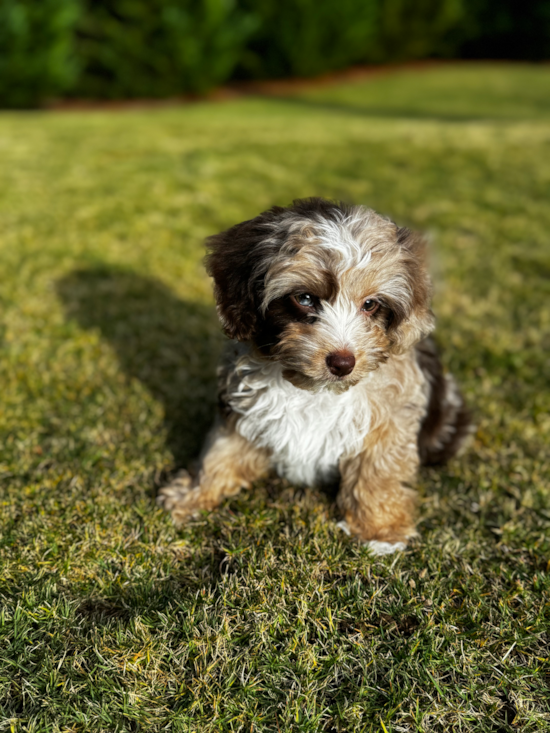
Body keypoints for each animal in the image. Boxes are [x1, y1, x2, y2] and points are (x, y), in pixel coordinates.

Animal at [157, 197, 472, 552]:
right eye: (305, 298)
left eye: (370, 304)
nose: (343, 362)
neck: (314, 388)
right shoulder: (241, 405)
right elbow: (221, 451)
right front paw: (194, 494)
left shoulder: (391, 418)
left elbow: (378, 472)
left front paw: (379, 530)